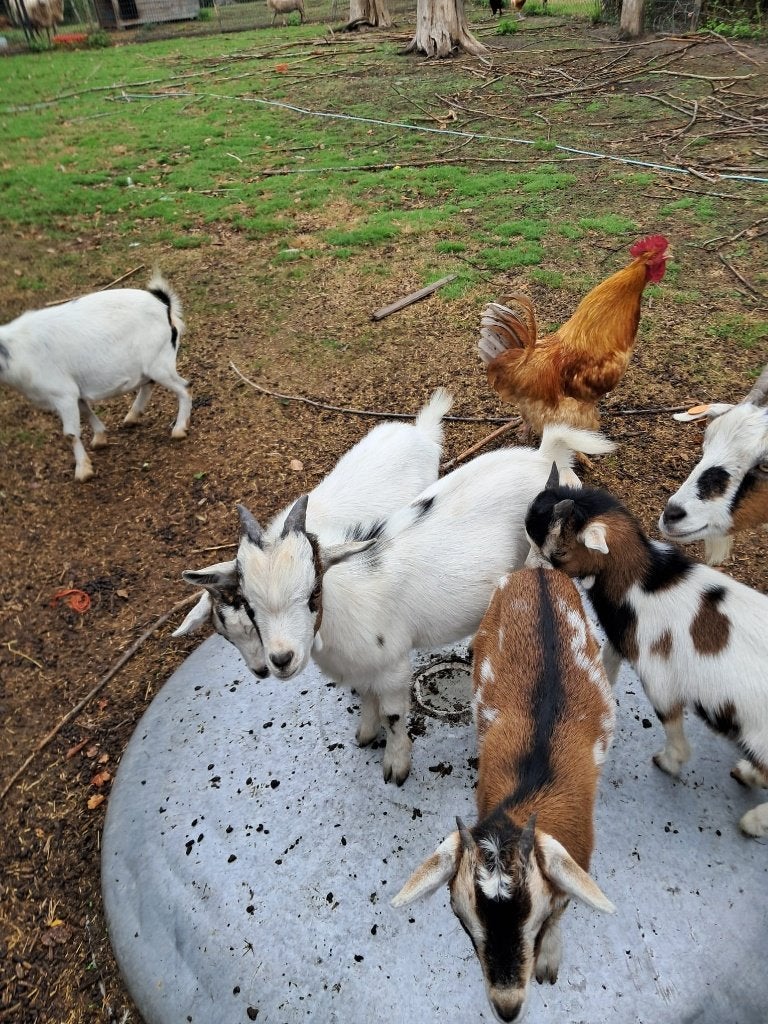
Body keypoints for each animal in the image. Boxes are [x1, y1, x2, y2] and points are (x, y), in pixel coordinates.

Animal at [0, 272, 190, 481]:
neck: (17, 351)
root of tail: (164, 304)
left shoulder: (63, 394)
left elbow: (70, 434)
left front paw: (83, 470)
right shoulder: (75, 391)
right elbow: (86, 410)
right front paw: (99, 438)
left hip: (159, 362)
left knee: (184, 387)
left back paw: (179, 429)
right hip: (149, 364)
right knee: (149, 383)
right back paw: (132, 416)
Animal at [233, 426, 615, 785]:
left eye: (313, 591)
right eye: (248, 604)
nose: (281, 659)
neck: (343, 596)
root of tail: (543, 456)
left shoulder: (392, 665)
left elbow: (393, 716)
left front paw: (396, 765)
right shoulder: (364, 666)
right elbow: (367, 700)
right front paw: (366, 734)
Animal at [391, 565, 615, 1022]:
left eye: (535, 921)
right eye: (461, 918)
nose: (507, 1007)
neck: (526, 797)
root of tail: (540, 570)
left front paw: (548, 962)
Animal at [526, 478, 768, 838]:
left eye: (557, 548)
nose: (527, 571)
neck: (643, 581)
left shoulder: (660, 680)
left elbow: (673, 727)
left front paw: (669, 762)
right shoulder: (620, 636)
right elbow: (607, 662)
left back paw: (752, 821)